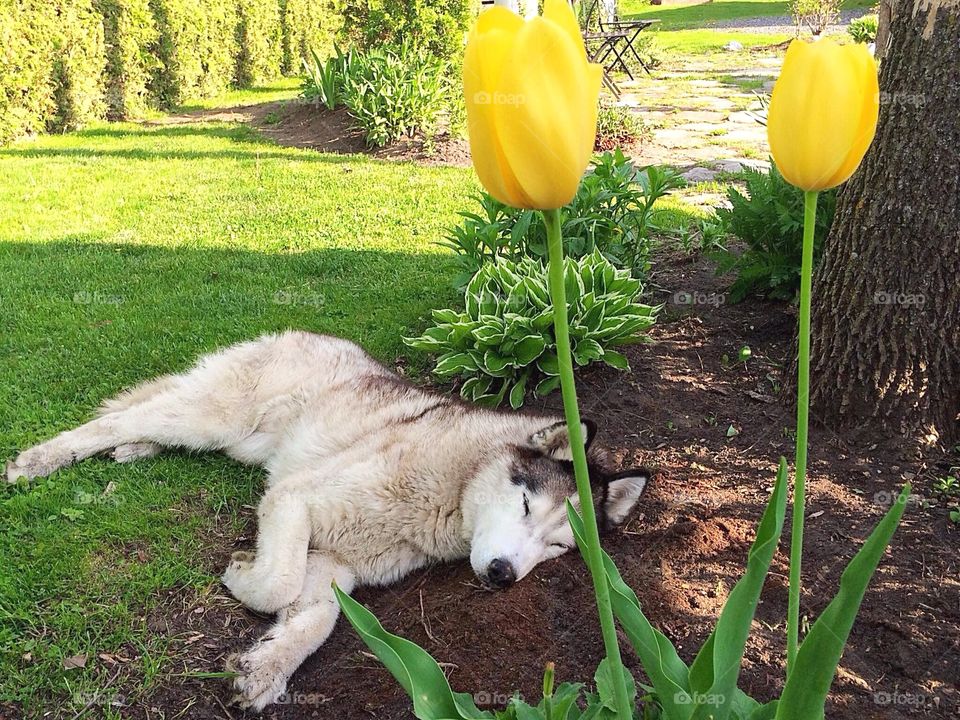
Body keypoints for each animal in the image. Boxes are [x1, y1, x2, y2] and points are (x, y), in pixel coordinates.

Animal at [7, 334, 648, 716]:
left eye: (559, 546)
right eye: (525, 507)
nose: (502, 575)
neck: (450, 489)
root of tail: (307, 335)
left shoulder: (332, 565)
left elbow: (316, 618)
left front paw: (265, 667)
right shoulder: (293, 498)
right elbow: (277, 584)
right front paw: (242, 575)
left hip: (234, 441)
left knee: (138, 421)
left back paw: (135, 450)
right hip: (213, 420)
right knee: (117, 418)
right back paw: (40, 459)